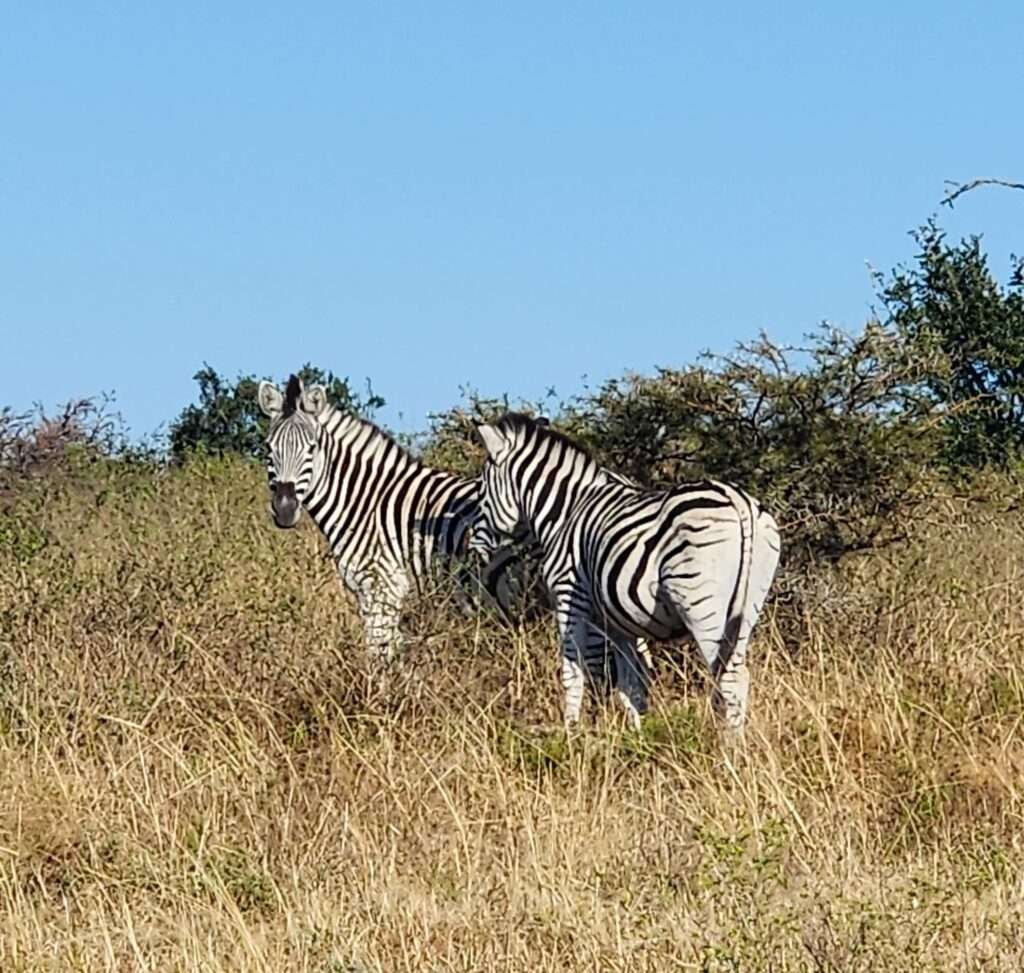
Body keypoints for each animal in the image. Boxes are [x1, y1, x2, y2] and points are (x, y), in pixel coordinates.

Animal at [475, 411, 778, 737]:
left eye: (482, 493)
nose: (475, 548)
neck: (565, 512)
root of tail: (738, 499)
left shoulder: (570, 598)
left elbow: (573, 672)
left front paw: (571, 734)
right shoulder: (620, 622)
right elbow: (632, 686)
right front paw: (637, 739)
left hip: (701, 603)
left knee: (729, 678)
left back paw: (729, 747)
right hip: (748, 606)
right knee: (739, 674)